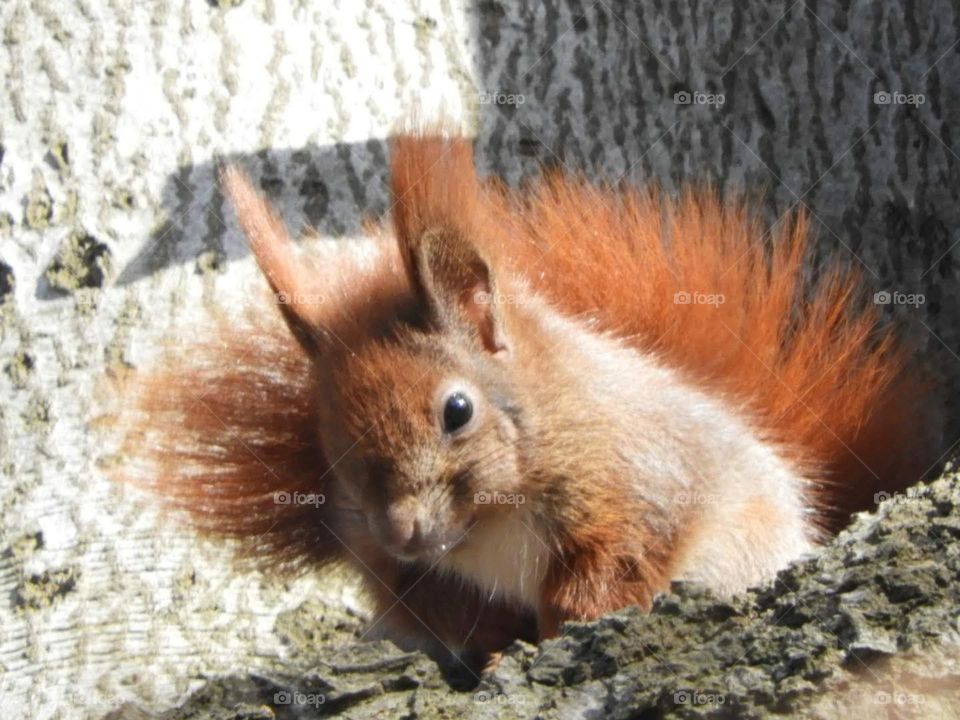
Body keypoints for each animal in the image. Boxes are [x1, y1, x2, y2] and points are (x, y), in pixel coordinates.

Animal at [112, 129, 938, 667]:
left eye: (457, 411)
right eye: (328, 439)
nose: (401, 529)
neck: (488, 522)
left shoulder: (644, 477)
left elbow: (618, 560)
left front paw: (567, 621)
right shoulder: (402, 573)